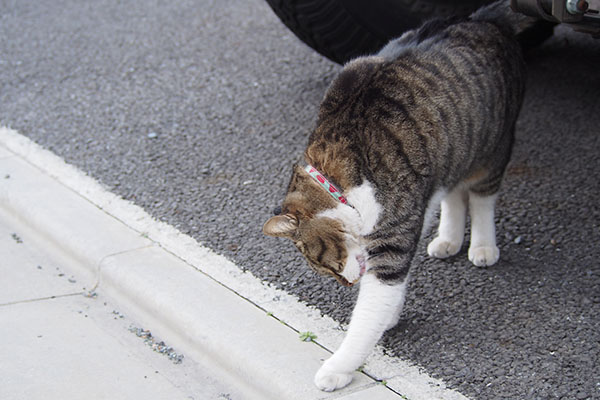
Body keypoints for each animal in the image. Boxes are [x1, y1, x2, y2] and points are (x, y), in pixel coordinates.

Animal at [264, 0, 536, 392]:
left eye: (325, 263)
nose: (347, 283)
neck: (338, 180)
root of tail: (484, 17)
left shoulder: (394, 237)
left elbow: (369, 311)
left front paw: (339, 367)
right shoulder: (410, 212)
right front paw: (389, 315)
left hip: (491, 149)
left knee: (482, 197)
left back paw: (483, 246)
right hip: (451, 154)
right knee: (454, 196)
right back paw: (449, 240)